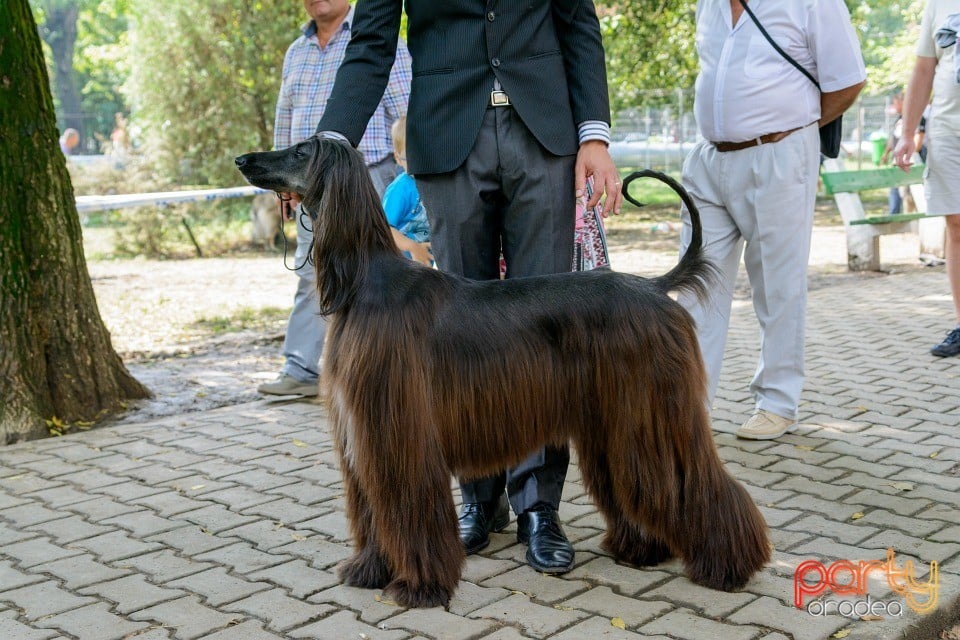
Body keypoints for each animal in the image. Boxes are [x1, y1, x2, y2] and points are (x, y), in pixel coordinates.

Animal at [236, 136, 768, 608]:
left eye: (301, 150)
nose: (243, 160)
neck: (367, 282)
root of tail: (656, 287)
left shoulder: (398, 429)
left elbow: (407, 508)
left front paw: (420, 587)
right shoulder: (365, 433)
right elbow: (371, 509)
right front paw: (369, 571)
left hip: (653, 411)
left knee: (698, 483)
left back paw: (729, 567)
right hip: (615, 420)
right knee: (638, 480)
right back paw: (642, 549)